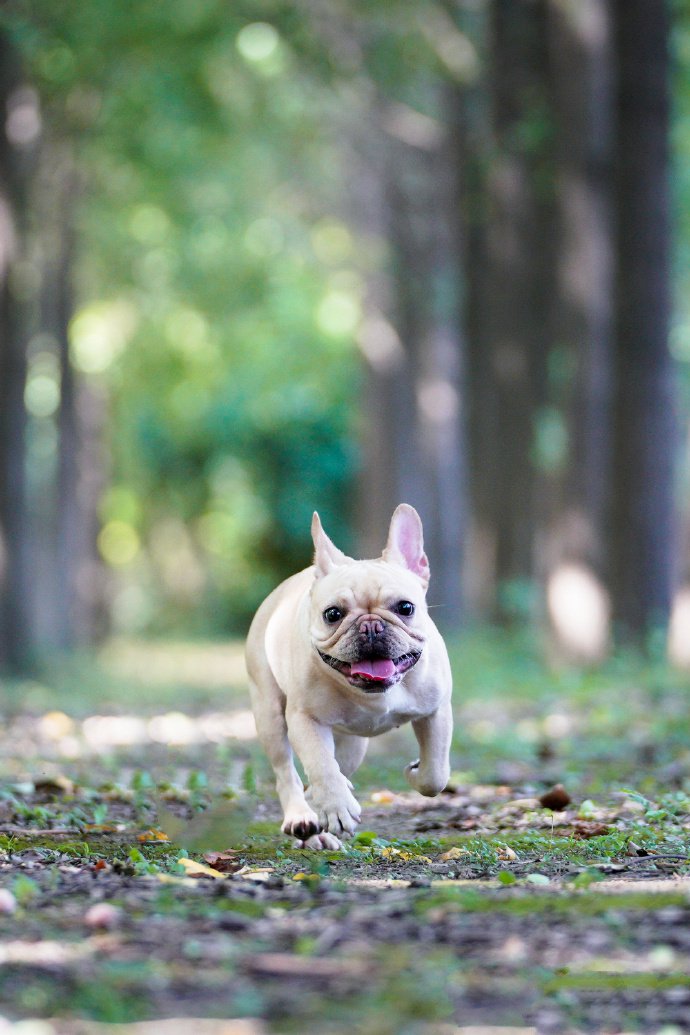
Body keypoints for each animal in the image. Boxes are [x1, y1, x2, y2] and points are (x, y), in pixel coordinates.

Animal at [244, 500, 453, 848]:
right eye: (333, 614)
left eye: (405, 608)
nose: (370, 627)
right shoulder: (305, 720)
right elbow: (320, 765)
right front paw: (337, 807)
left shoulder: (435, 711)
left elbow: (435, 772)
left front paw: (416, 770)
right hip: (270, 714)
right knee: (287, 771)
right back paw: (304, 820)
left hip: (353, 745)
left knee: (338, 765)